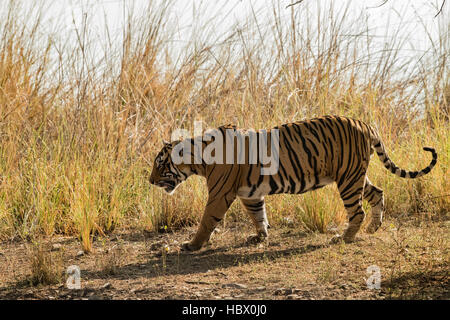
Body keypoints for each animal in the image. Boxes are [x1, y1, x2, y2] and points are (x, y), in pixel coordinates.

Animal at [149, 116, 438, 251]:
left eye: (161, 164)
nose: (150, 181)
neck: (199, 159)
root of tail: (364, 123)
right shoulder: (249, 193)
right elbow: (258, 215)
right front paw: (260, 236)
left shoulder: (220, 194)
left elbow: (207, 220)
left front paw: (192, 245)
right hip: (356, 175)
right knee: (377, 193)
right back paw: (373, 228)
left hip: (348, 180)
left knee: (358, 211)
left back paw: (344, 238)